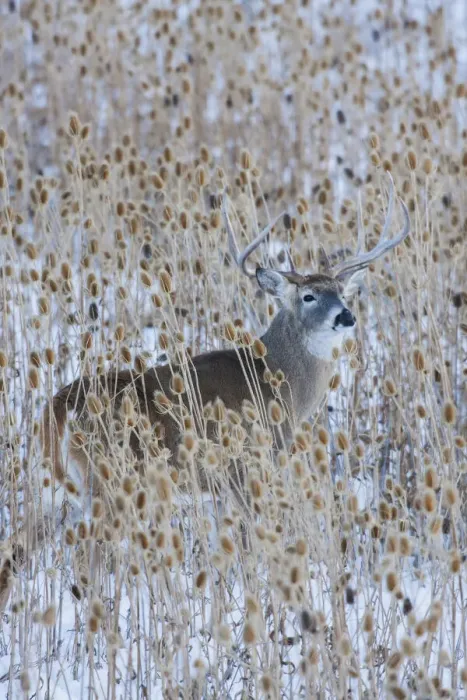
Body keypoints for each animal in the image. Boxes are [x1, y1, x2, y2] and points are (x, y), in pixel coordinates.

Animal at [0, 175, 409, 608]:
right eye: (308, 296)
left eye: (342, 293)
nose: (345, 316)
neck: (277, 381)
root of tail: (56, 411)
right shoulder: (245, 470)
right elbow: (249, 551)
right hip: (108, 484)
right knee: (86, 560)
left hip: (52, 489)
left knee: (14, 551)